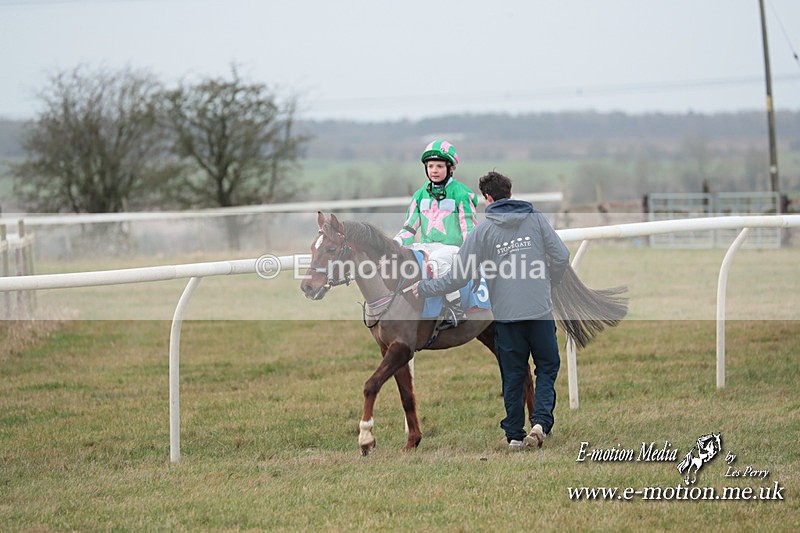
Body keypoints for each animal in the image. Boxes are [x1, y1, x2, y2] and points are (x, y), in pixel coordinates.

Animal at [301, 212, 628, 455]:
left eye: (331, 249)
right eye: (313, 248)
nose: (307, 286)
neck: (395, 285)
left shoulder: (402, 348)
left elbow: (371, 385)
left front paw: (366, 439)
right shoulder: (391, 348)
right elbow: (406, 395)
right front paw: (412, 440)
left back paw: (539, 427)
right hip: (492, 333)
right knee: (523, 373)